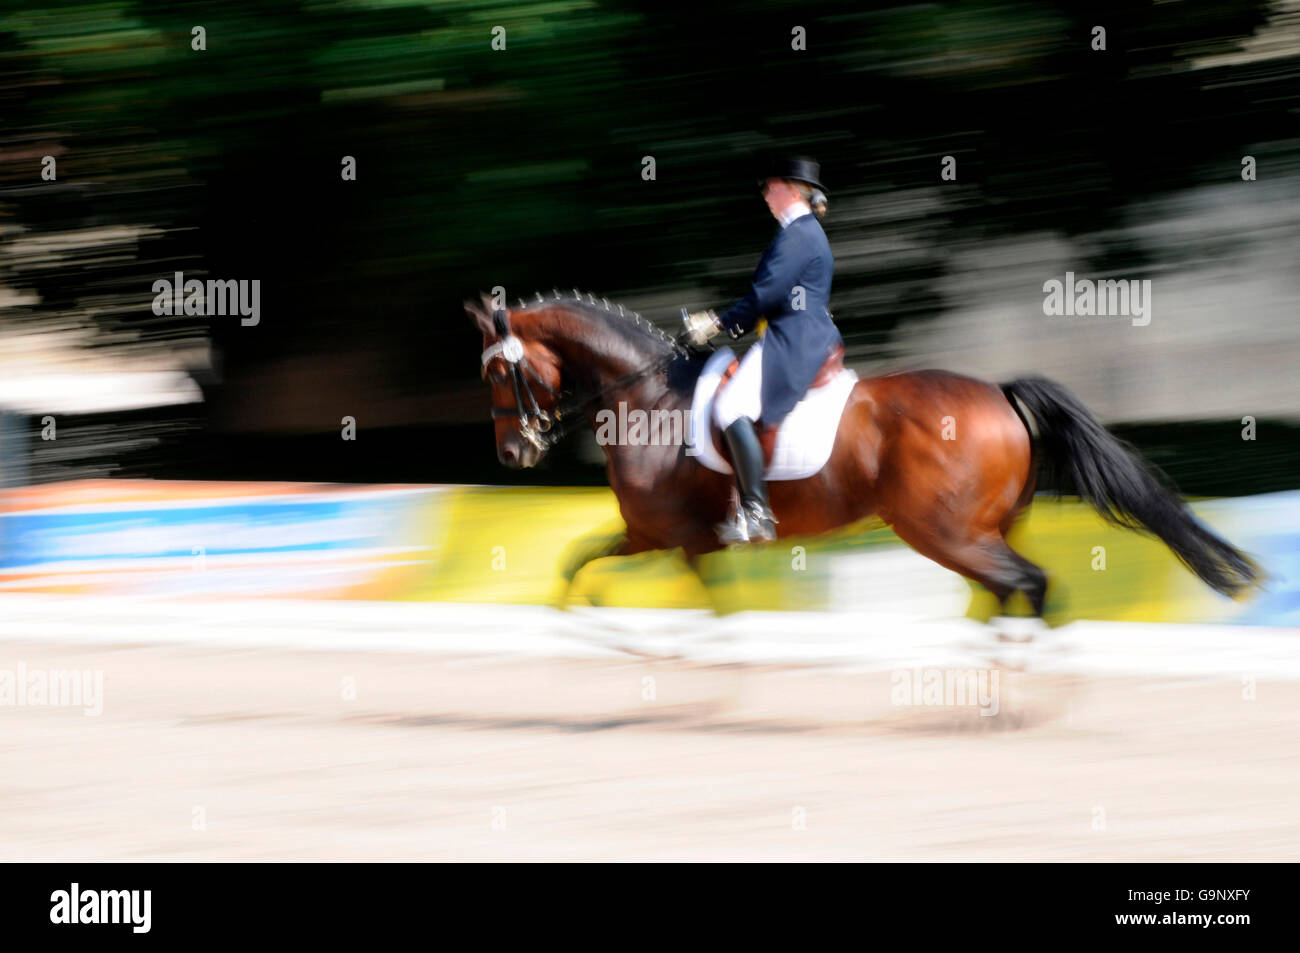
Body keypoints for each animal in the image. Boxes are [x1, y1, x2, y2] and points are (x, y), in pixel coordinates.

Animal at [467, 289, 1258, 616]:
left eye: (497, 374)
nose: (513, 455)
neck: (646, 398)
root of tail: (1000, 395)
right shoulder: (655, 537)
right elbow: (578, 563)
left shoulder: (675, 539)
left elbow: (701, 612)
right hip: (981, 530)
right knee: (1008, 589)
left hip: (943, 530)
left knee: (1024, 584)